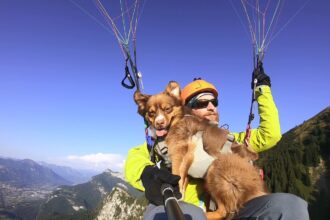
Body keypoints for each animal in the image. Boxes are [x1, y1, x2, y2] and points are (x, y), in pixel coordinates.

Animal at [133, 81, 266, 219]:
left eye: (167, 109)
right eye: (151, 113)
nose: (159, 123)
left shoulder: (180, 156)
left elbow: (177, 180)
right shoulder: (183, 167)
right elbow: (181, 185)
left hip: (215, 170)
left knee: (225, 210)